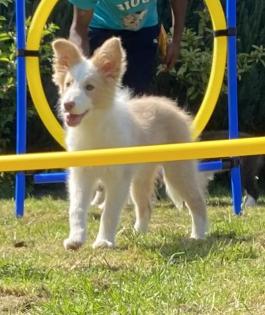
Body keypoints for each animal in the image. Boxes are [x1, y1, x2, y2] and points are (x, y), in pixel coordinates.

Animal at [51, 37, 206, 251]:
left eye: (89, 87)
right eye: (68, 84)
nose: (67, 104)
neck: (94, 128)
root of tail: (171, 106)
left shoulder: (118, 178)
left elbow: (109, 212)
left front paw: (103, 242)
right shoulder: (81, 175)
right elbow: (77, 208)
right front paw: (75, 239)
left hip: (178, 170)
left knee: (197, 201)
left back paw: (198, 236)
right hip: (139, 177)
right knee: (145, 206)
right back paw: (138, 234)